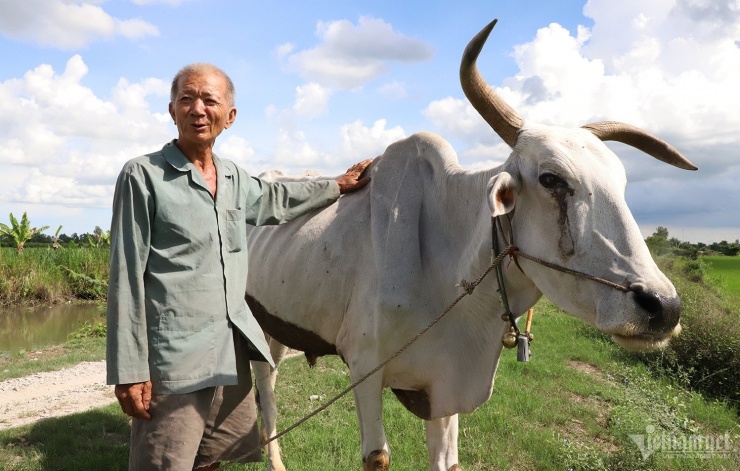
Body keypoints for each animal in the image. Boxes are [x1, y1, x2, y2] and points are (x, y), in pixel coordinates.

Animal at [247, 19, 692, 471]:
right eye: (551, 179)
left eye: (621, 183)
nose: (663, 307)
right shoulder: (364, 367)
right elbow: (377, 456)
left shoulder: (444, 391)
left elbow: (448, 460)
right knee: (265, 389)